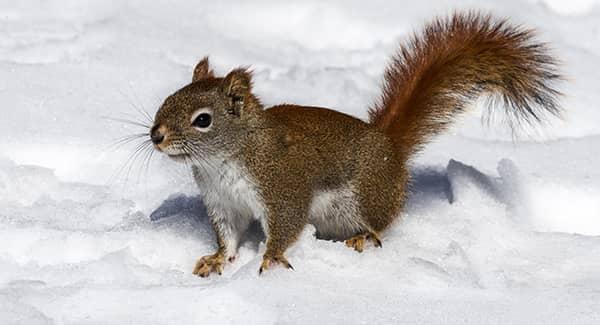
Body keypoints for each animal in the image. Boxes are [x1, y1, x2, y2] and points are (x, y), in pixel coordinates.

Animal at [150, 12, 564, 276]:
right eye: (168, 99)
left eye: (203, 120)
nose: (156, 136)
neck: (224, 159)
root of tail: (391, 148)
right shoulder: (224, 203)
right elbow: (229, 237)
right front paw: (217, 260)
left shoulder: (281, 188)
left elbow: (285, 226)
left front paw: (270, 258)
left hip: (364, 198)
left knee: (380, 225)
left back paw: (363, 239)